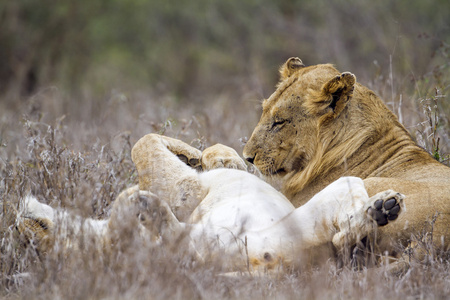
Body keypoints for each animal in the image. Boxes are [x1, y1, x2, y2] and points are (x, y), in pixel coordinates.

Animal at [17, 134, 404, 272]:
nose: (20, 221)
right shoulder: (185, 189)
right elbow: (144, 142)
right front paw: (202, 156)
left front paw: (201, 155)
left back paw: (382, 208)